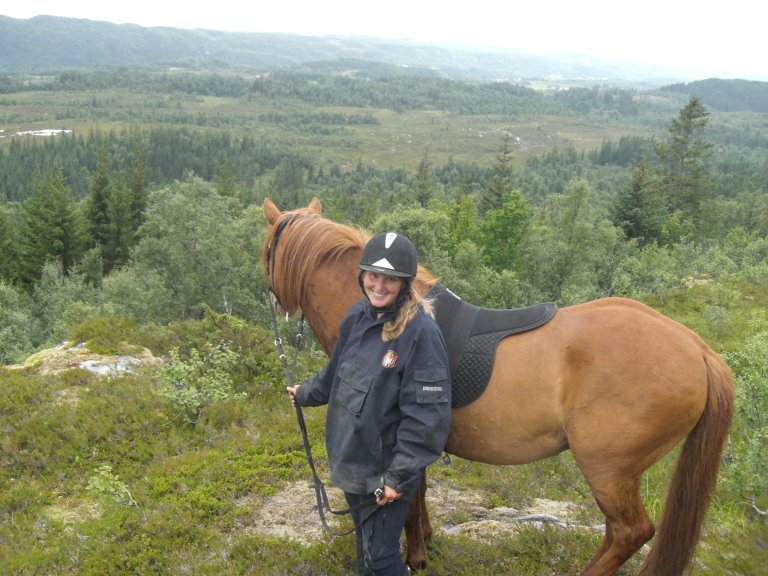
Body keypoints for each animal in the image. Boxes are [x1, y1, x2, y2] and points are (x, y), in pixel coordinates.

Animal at [262, 198, 732, 576]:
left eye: (266, 249)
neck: (394, 317)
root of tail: (698, 350)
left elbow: (406, 501)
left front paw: (416, 555)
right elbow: (421, 491)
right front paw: (427, 538)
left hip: (609, 471)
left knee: (629, 532)